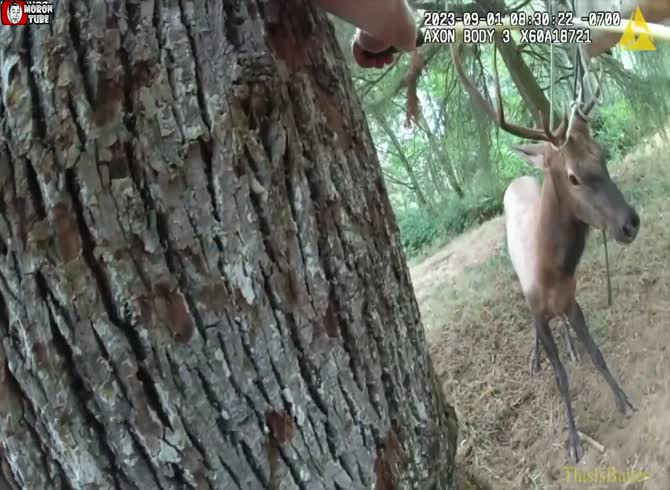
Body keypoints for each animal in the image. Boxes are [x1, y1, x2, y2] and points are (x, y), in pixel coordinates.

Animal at [450, 41, 641, 462]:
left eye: (603, 153)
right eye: (573, 176)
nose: (630, 222)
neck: (553, 271)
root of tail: (518, 179)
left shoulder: (572, 299)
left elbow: (596, 352)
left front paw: (624, 399)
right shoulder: (537, 309)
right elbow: (560, 377)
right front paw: (573, 440)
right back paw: (537, 356)